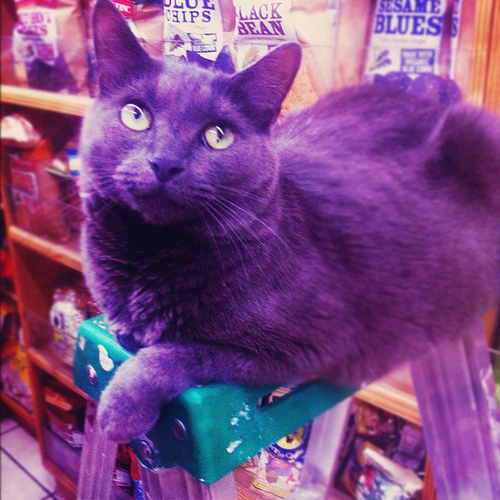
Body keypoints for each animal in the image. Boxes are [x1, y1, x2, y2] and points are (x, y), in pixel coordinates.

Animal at [80, 0, 500, 443]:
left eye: (217, 136)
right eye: (136, 115)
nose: (164, 162)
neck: (150, 254)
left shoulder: (308, 347)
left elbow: (181, 352)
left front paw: (121, 408)